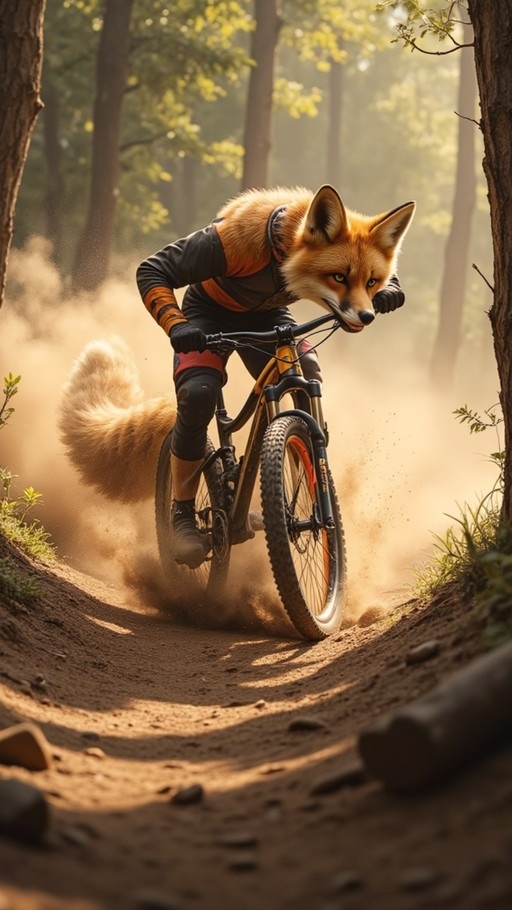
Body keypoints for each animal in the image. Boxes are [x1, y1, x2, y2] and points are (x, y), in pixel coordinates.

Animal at [59, 184, 415, 511]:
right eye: (339, 277)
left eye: (371, 282)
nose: (367, 315)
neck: (280, 254)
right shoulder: (226, 246)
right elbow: (152, 267)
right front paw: (184, 333)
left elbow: (311, 449)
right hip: (203, 371)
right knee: (197, 409)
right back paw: (186, 528)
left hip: (277, 339)